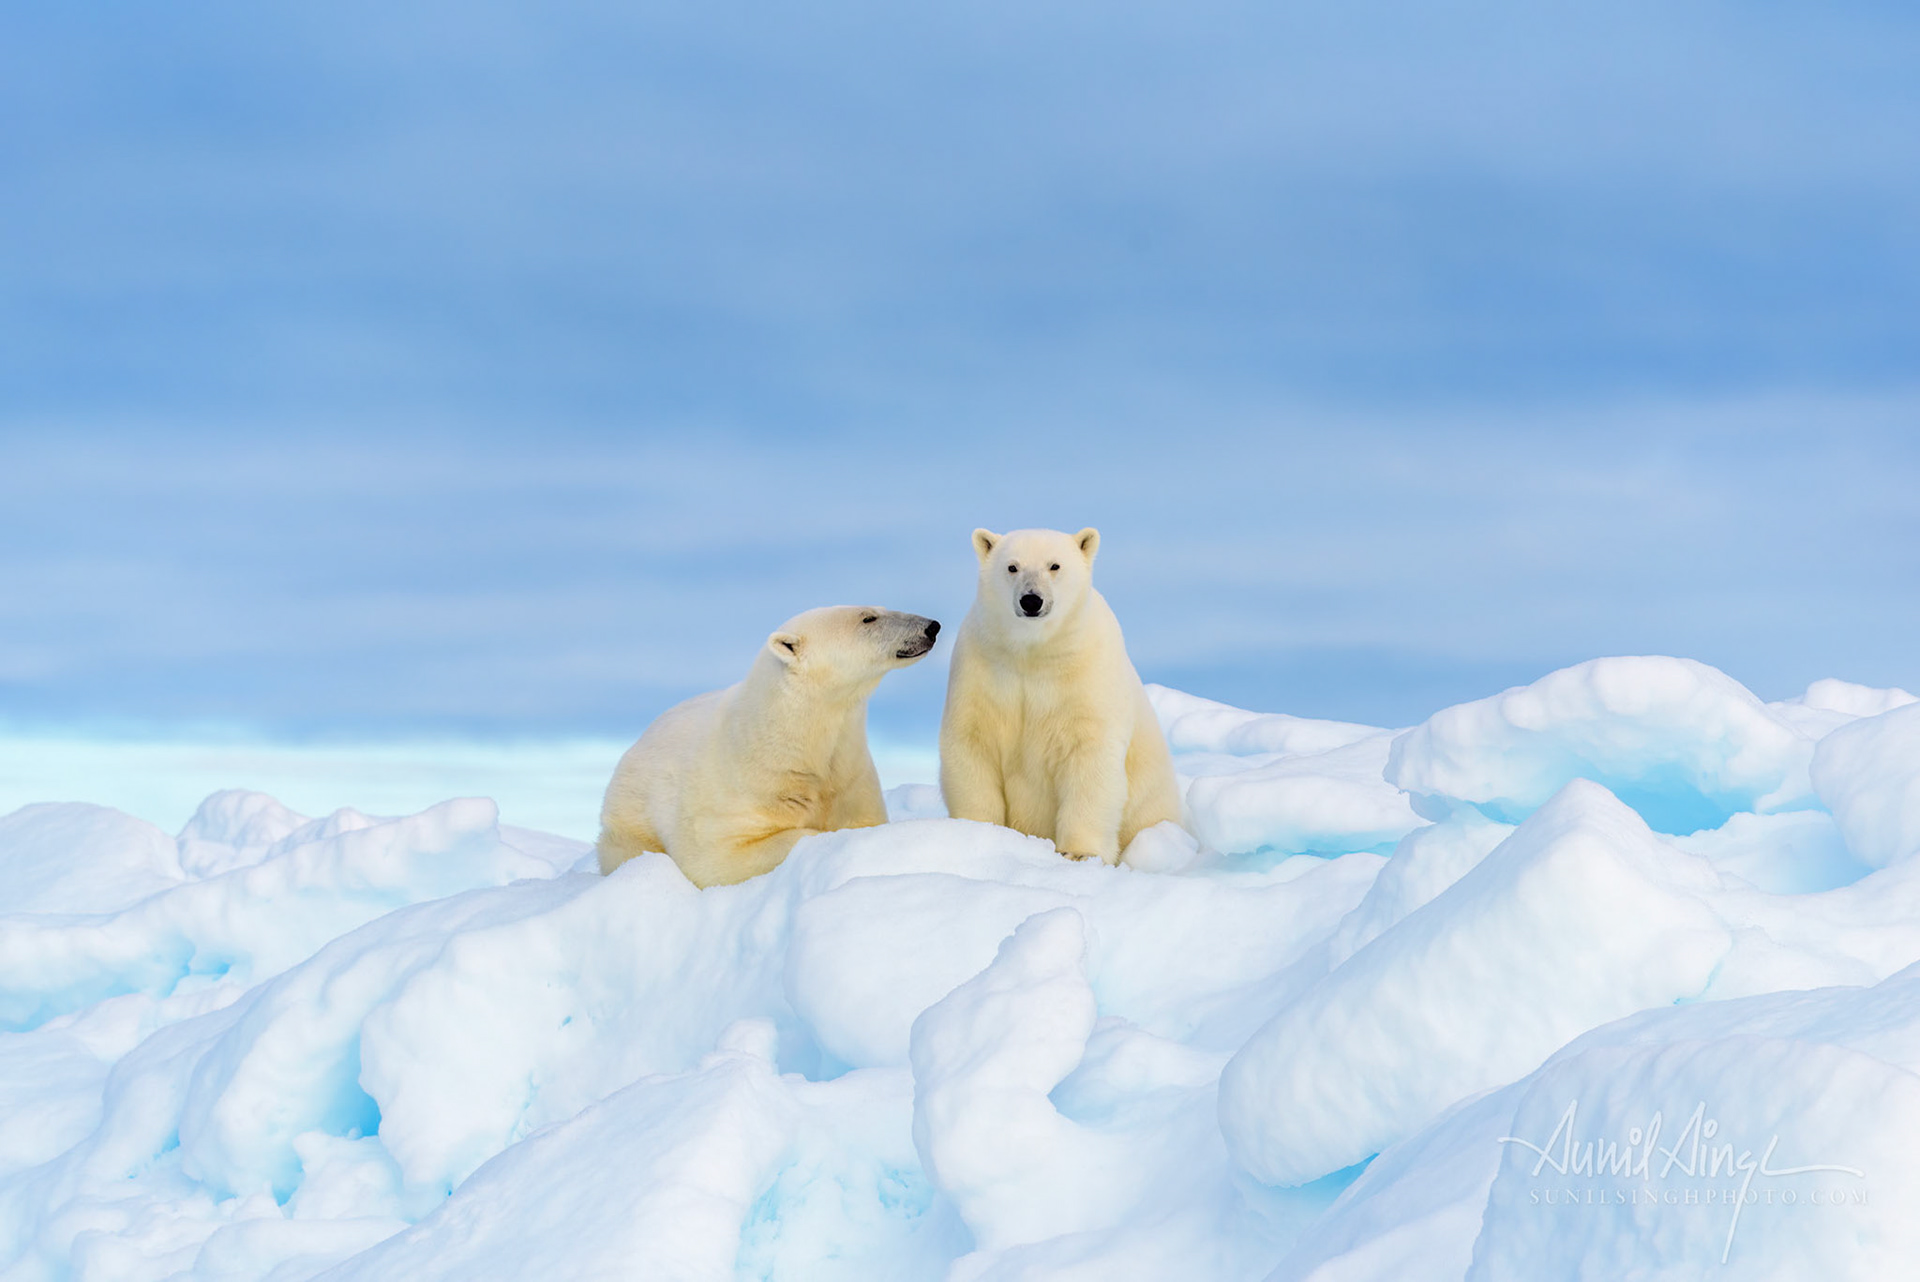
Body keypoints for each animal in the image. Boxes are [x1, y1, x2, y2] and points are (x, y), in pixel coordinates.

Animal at [597, 605, 940, 887]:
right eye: (868, 617)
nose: (932, 626)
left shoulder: (848, 772)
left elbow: (863, 818)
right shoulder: (741, 794)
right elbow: (717, 859)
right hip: (629, 812)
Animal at [939, 527, 1184, 865]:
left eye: (1054, 566)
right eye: (1012, 566)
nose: (1031, 600)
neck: (1035, 653)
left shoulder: (1085, 676)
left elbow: (1090, 757)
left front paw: (1079, 853)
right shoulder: (981, 669)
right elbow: (973, 744)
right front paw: (976, 832)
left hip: (1152, 804)